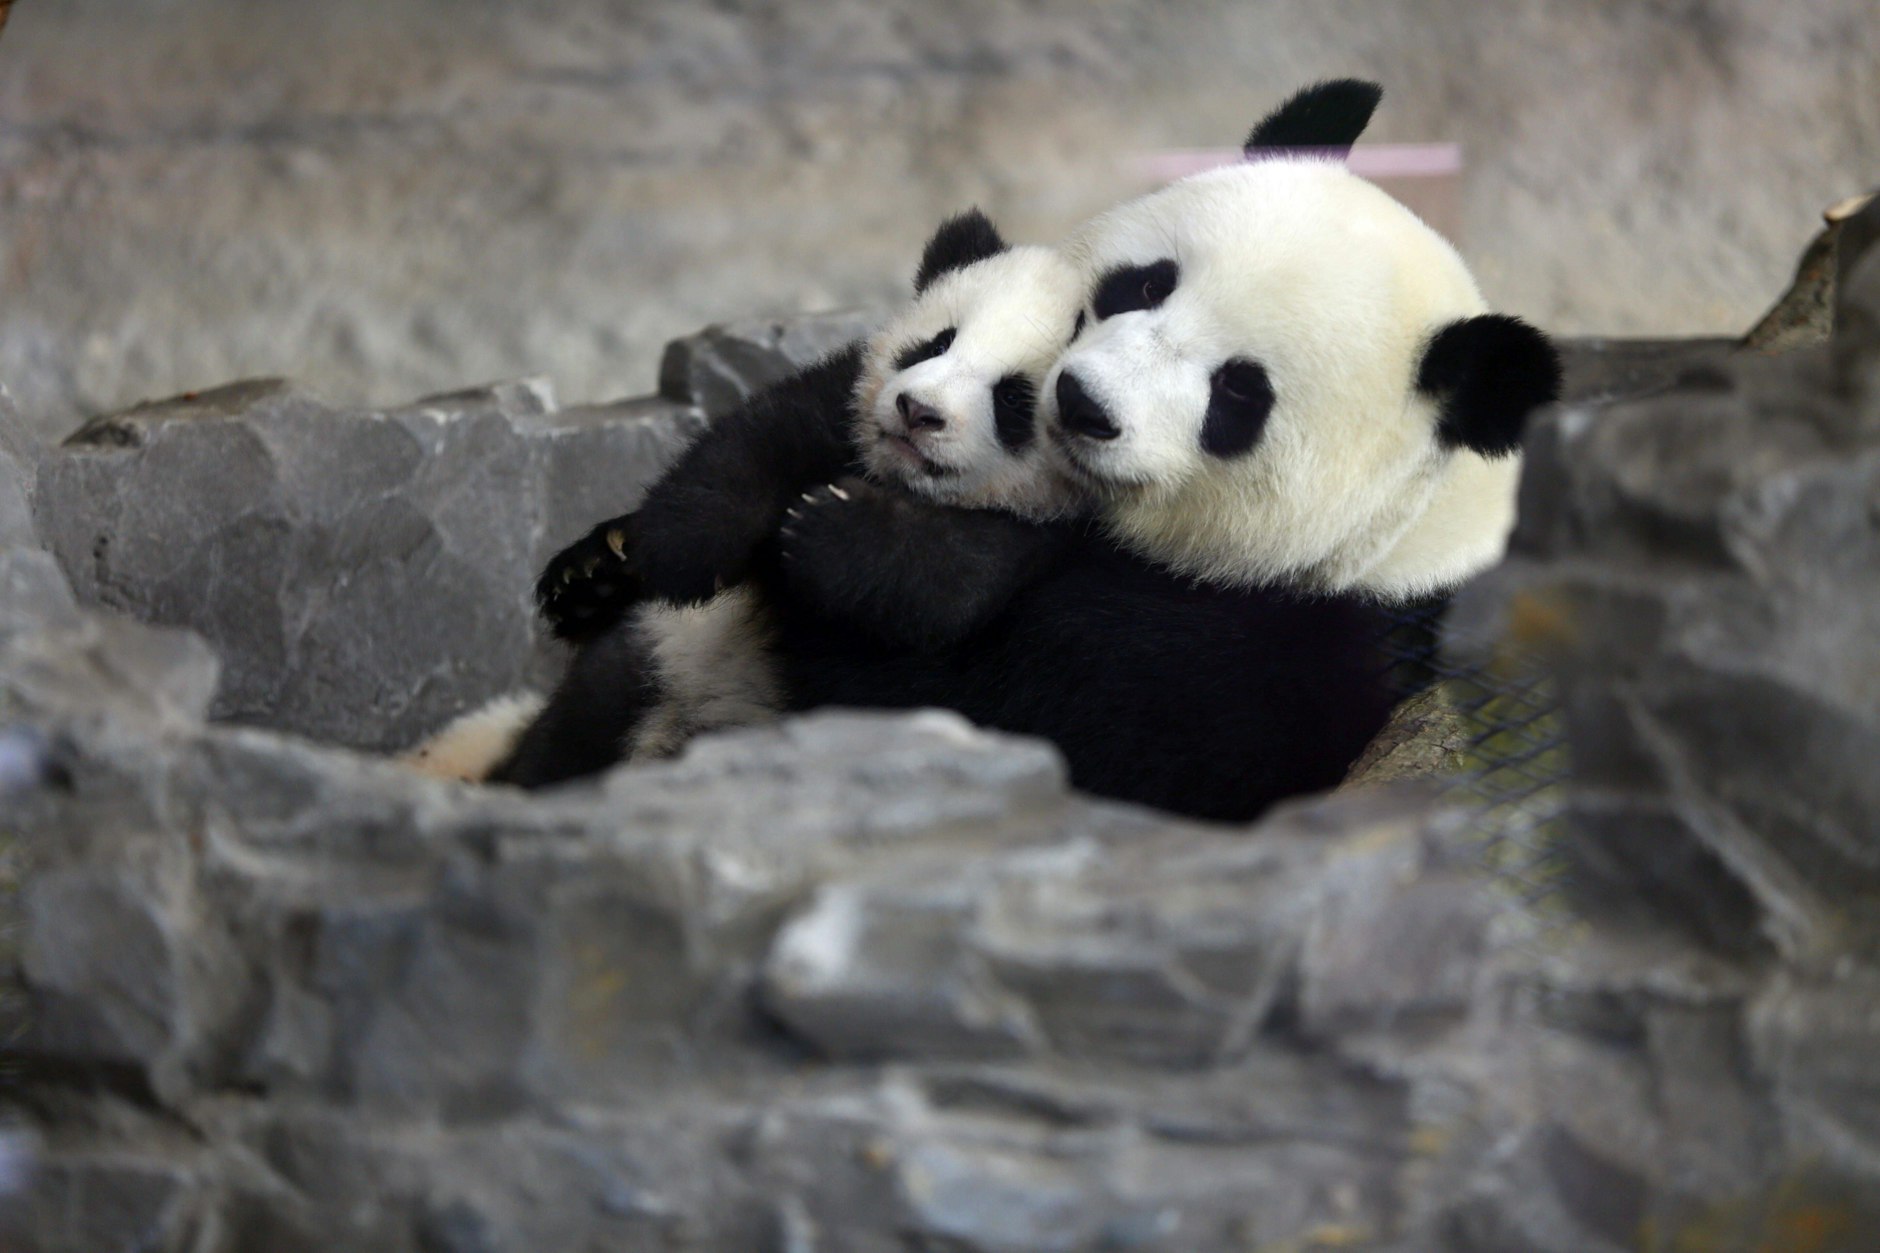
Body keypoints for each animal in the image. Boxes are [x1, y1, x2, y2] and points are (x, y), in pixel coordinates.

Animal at [405, 210, 1089, 786]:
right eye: (935, 343)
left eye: (1013, 399)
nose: (916, 411)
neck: (895, 480)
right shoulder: (838, 401)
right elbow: (758, 440)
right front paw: (671, 549)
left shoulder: (1049, 541)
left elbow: (954, 577)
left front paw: (833, 530)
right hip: (663, 657)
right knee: (588, 713)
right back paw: (588, 589)